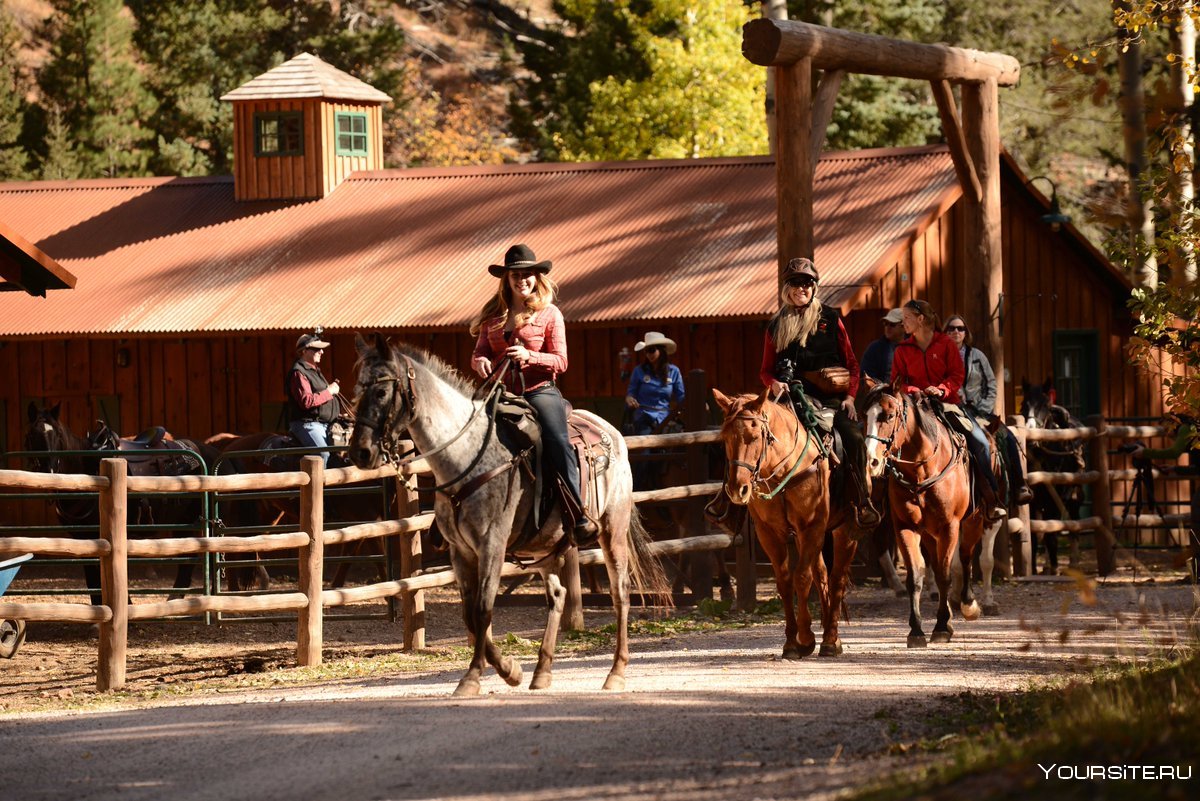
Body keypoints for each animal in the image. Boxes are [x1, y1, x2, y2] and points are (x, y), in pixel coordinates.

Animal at [23, 402, 216, 604]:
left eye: (58, 434)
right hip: (184, 520)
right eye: (31, 434)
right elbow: (92, 580)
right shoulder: (81, 536)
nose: (49, 470)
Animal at [705, 386, 859, 657]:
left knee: (836, 577)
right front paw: (791, 642)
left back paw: (831, 640)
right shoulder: (769, 533)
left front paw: (806, 638)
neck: (785, 469)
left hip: (844, 530)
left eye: (755, 435)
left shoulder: (811, 526)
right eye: (725, 438)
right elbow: (785, 582)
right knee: (821, 573)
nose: (737, 489)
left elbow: (801, 578)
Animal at [864, 383, 984, 647]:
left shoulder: (950, 526)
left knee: (966, 556)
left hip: (973, 521)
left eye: (889, 415)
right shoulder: (904, 528)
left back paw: (968, 605)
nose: (872, 461)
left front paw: (940, 627)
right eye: (864, 416)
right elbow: (915, 578)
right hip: (929, 533)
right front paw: (917, 630)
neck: (921, 471)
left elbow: (945, 575)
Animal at [1022, 378, 1089, 573]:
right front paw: (1035, 569)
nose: (1030, 432)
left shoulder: (1056, 497)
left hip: (1074, 496)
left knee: (1073, 524)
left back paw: (1073, 562)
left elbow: (1052, 533)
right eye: (1024, 404)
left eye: (1045, 405)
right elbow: (1036, 534)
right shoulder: (1034, 501)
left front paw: (1055, 568)